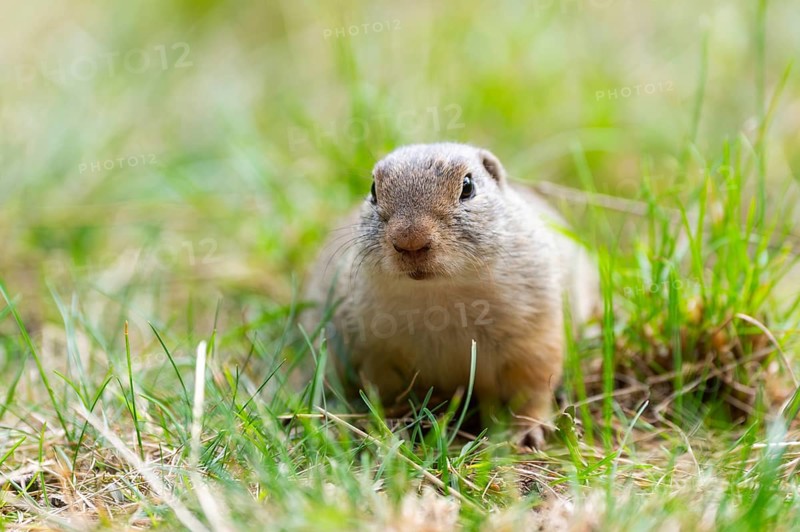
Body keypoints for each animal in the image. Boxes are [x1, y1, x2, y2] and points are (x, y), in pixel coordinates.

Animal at [304, 143, 598, 447]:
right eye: (373, 190)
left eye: (467, 187)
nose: (410, 240)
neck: (441, 294)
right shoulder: (376, 352)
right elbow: (383, 391)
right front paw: (388, 426)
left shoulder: (536, 336)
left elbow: (533, 389)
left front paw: (530, 430)